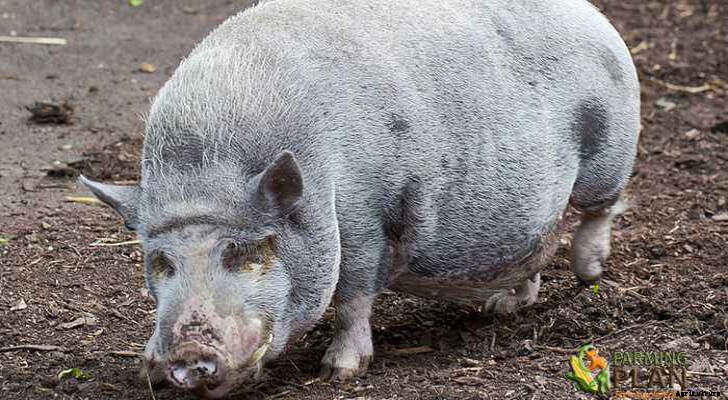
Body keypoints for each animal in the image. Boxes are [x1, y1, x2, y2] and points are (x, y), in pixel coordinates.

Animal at [80, 0, 639, 397]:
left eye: (246, 253)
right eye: (160, 262)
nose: (185, 355)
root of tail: (593, 15)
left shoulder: (365, 220)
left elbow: (352, 299)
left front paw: (340, 373)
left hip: (611, 144)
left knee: (600, 209)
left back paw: (589, 272)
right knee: (537, 247)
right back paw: (501, 307)